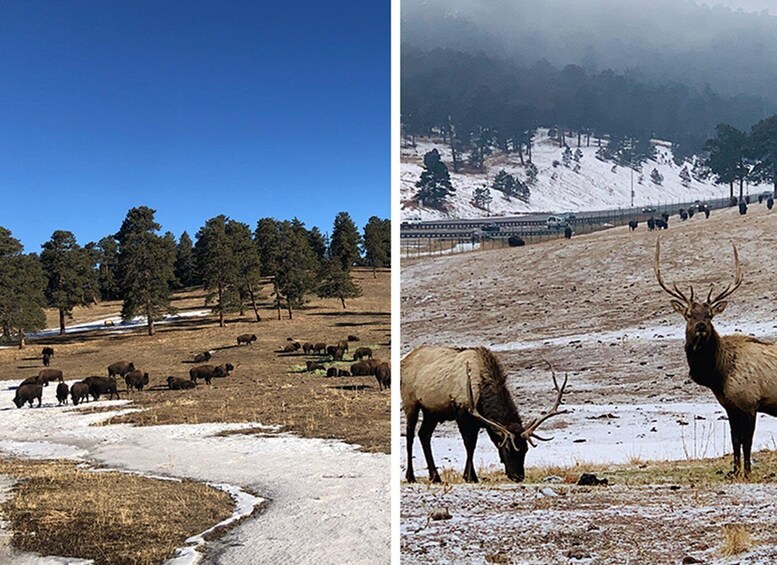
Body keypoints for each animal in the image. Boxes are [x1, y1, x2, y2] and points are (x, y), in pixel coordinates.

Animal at [400, 346, 564, 482]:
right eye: (507, 449)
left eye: (525, 449)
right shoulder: (463, 413)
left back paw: (435, 477)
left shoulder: (480, 422)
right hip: (411, 403)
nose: (518, 476)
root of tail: (404, 359)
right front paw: (469, 476)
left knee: (424, 434)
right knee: (410, 436)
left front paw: (470, 475)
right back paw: (411, 476)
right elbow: (470, 444)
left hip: (431, 411)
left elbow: (475, 444)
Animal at [652, 238, 776, 476]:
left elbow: (747, 441)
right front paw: (734, 471)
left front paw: (747, 472)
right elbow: (735, 440)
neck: (719, 376)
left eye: (709, 315)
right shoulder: (729, 405)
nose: (701, 326)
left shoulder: (750, 401)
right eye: (689, 314)